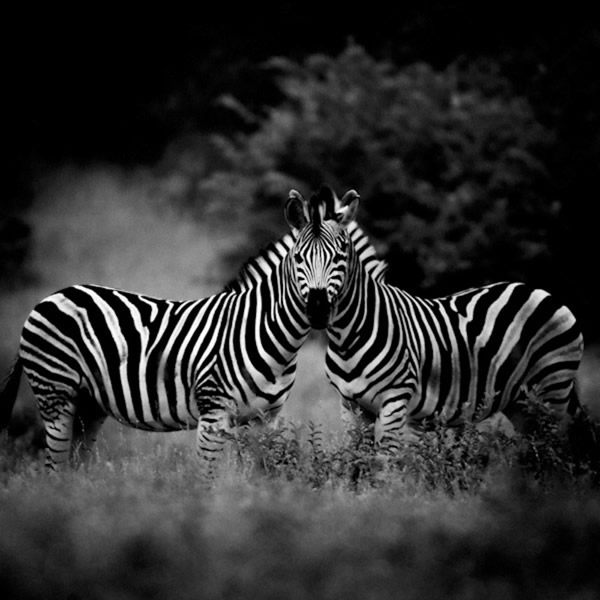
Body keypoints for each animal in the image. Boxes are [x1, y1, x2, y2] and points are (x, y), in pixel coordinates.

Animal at [0, 190, 360, 472]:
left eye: (340, 257)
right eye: (299, 258)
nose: (317, 310)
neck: (265, 332)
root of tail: (51, 296)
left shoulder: (263, 420)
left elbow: (257, 475)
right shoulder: (213, 414)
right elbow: (207, 480)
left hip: (88, 405)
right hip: (55, 393)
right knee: (54, 468)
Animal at [288, 185, 584, 452]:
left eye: (340, 256)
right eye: (298, 257)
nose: (317, 310)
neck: (349, 337)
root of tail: (540, 291)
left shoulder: (395, 401)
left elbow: (386, 464)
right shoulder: (350, 406)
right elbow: (357, 462)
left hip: (551, 389)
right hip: (520, 402)